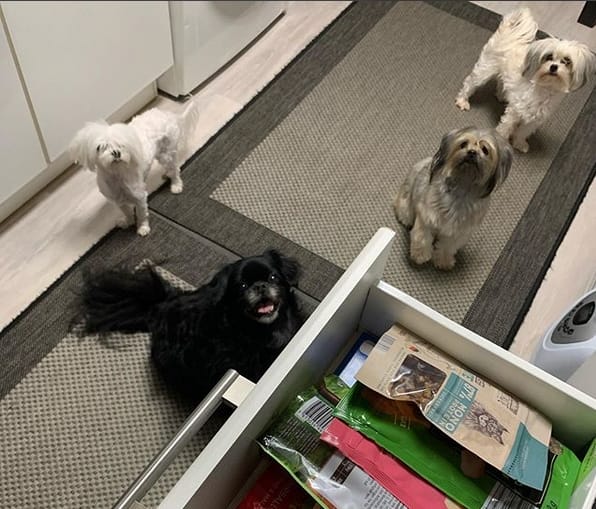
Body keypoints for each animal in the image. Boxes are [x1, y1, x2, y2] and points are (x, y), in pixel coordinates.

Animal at [69, 101, 200, 236]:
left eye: (121, 144)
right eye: (100, 147)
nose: (116, 153)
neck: (117, 174)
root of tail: (166, 114)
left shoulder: (139, 196)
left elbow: (141, 214)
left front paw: (143, 227)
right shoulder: (118, 199)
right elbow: (126, 211)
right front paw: (128, 221)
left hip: (166, 153)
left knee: (175, 169)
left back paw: (176, 184)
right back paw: (167, 174)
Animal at [392, 126, 513, 270]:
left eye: (485, 150)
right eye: (463, 144)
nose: (472, 152)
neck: (462, 186)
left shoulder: (458, 232)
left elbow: (447, 246)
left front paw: (443, 261)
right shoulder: (426, 218)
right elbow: (422, 238)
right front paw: (420, 255)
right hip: (406, 208)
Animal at [455, 8, 595, 152]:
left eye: (567, 61)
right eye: (549, 57)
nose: (553, 67)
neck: (545, 89)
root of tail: (510, 33)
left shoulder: (535, 120)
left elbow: (523, 132)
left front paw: (519, 143)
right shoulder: (514, 113)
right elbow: (505, 128)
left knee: (501, 81)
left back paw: (501, 95)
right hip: (485, 69)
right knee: (469, 84)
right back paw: (462, 100)